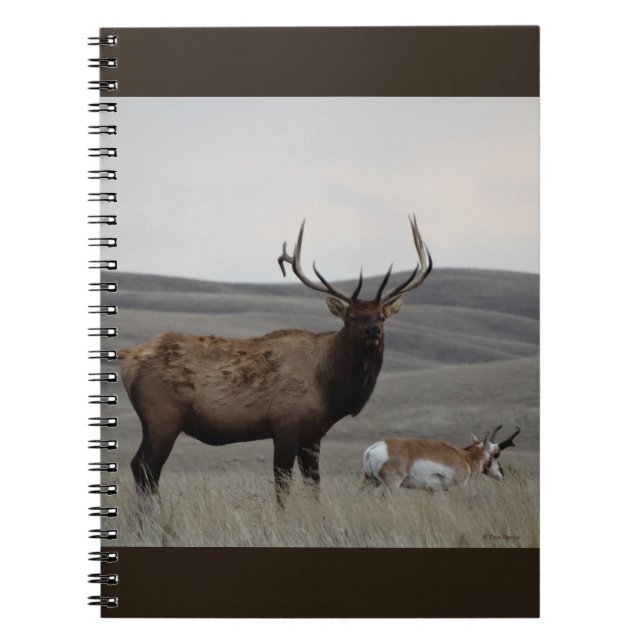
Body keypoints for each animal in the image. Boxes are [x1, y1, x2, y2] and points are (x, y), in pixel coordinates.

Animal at [118, 216, 433, 506]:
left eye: (381, 316)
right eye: (352, 317)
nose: (373, 331)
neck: (330, 387)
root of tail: (129, 356)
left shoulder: (313, 435)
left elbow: (314, 488)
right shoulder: (285, 426)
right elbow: (282, 488)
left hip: (150, 422)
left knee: (137, 466)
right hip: (164, 417)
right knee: (147, 469)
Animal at [362, 426, 521, 492]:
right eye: (496, 453)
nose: (502, 474)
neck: (464, 457)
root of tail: (374, 448)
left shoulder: (436, 491)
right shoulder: (456, 488)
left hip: (370, 482)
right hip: (391, 485)